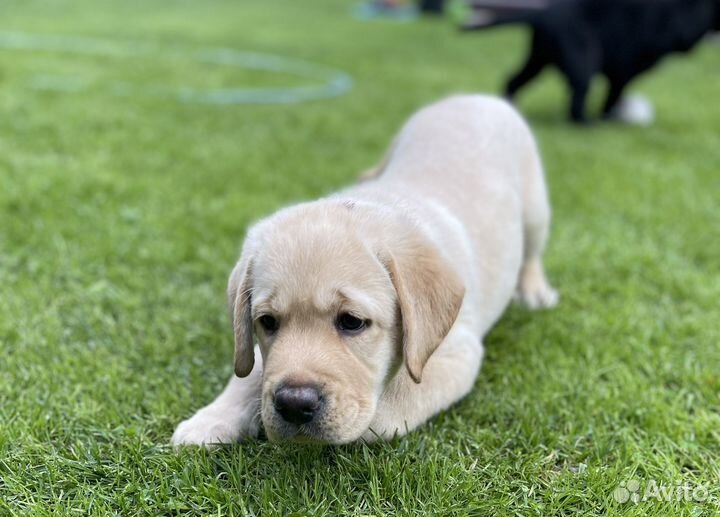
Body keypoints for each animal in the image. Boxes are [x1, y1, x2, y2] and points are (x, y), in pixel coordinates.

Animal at [173, 93, 556, 444]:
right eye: (267, 322)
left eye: (352, 322)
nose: (293, 404)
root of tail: (474, 96)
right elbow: (250, 374)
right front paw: (212, 419)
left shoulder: (455, 353)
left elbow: (380, 416)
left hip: (535, 209)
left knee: (532, 254)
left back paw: (534, 291)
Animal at [464, 0, 716, 122]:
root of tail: (544, 13)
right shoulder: (624, 68)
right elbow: (613, 96)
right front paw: (610, 119)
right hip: (582, 60)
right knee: (577, 99)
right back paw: (586, 123)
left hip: (539, 58)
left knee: (513, 79)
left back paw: (510, 105)